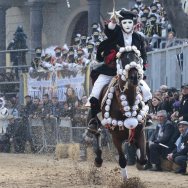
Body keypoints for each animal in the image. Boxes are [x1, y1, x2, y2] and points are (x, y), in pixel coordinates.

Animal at [93, 49, 148, 178]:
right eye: (123, 60)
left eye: (137, 58)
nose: (134, 77)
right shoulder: (116, 137)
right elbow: (122, 160)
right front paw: (126, 179)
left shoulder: (140, 131)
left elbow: (143, 159)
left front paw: (140, 162)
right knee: (96, 132)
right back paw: (98, 159)